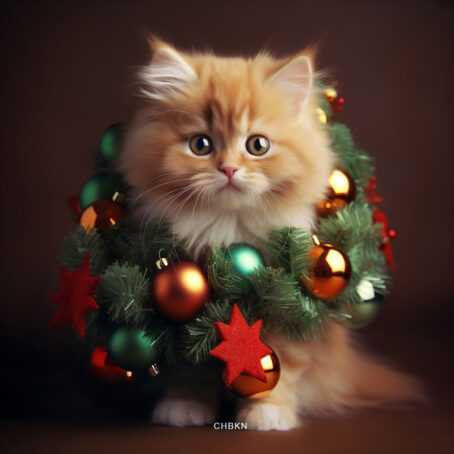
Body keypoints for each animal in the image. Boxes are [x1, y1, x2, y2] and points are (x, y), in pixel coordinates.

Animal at [119, 38, 424, 430]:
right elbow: (187, 368)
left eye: (257, 146)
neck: (227, 230)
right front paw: (184, 406)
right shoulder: (183, 318)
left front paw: (267, 414)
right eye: (201, 145)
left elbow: (276, 366)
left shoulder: (288, 309)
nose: (229, 169)